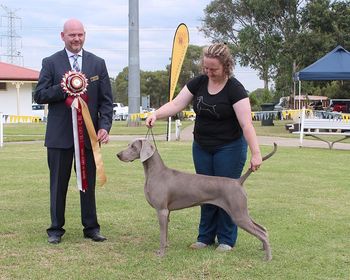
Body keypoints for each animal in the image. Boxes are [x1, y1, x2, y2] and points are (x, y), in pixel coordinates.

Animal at [116, 139, 278, 262]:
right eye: (129, 145)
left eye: (133, 146)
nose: (118, 154)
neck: (155, 173)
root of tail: (238, 181)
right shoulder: (167, 212)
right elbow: (166, 234)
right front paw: (166, 248)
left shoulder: (161, 210)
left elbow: (162, 236)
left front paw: (161, 254)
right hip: (242, 211)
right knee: (263, 229)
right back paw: (263, 248)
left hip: (238, 214)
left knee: (261, 232)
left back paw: (268, 258)